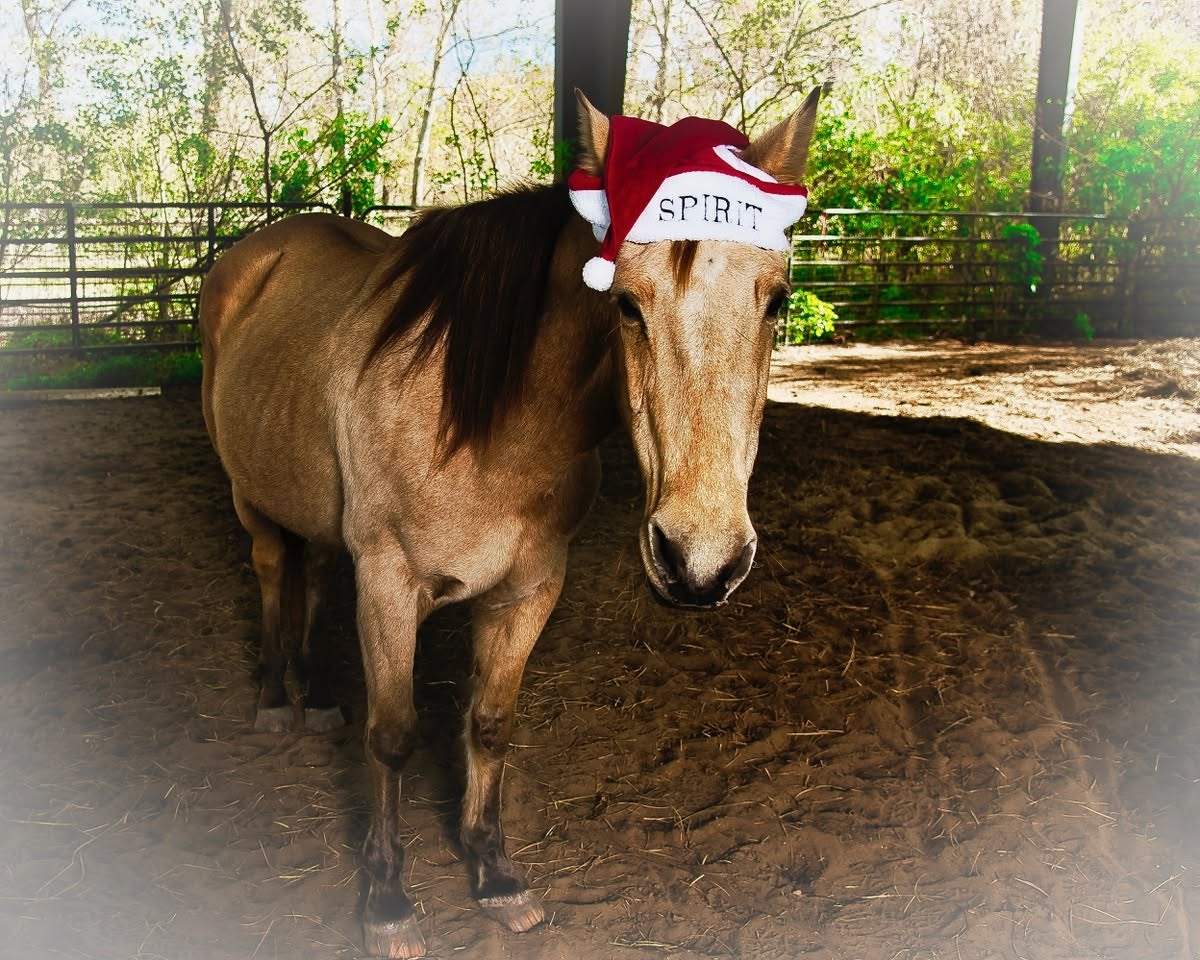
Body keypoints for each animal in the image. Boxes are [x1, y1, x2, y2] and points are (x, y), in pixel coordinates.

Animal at [199, 87, 822, 958]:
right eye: (626, 305)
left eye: (778, 299)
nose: (700, 560)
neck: (484, 424)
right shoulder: (389, 587)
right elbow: (393, 732)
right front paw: (387, 899)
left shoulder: (528, 591)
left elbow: (491, 725)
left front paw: (494, 875)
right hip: (250, 500)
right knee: (269, 572)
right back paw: (272, 699)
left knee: (315, 572)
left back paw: (317, 696)